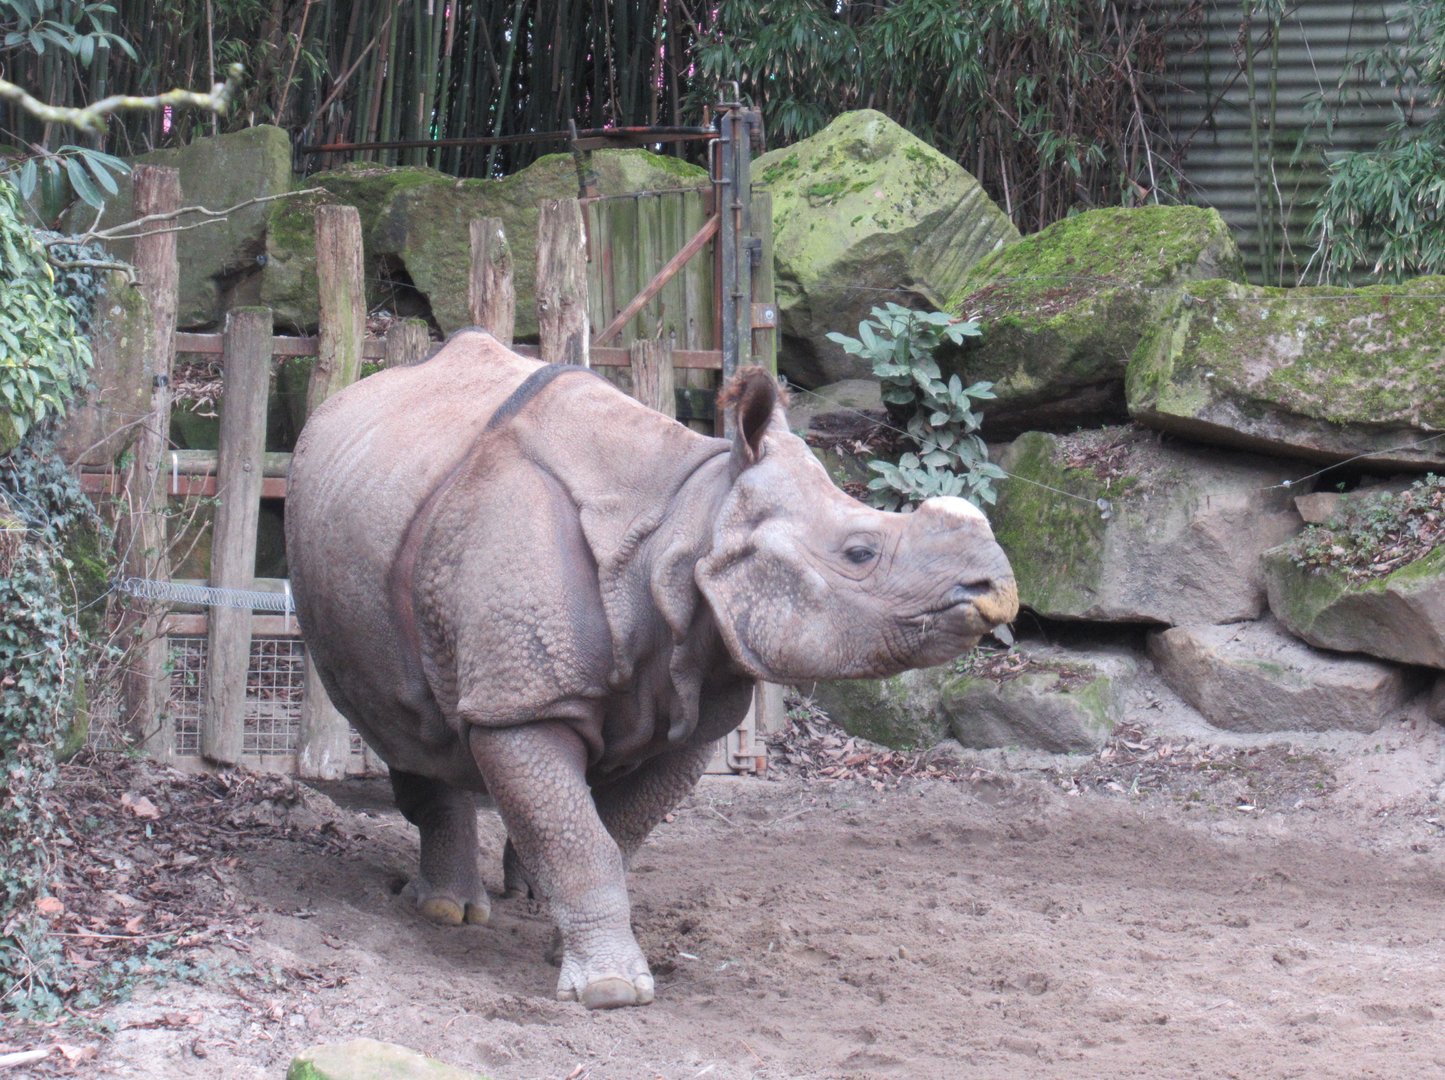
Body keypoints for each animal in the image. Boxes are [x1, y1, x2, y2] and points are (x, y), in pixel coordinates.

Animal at [285, 329, 1017, 1009]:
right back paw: (449, 913)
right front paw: (609, 990)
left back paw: (525, 896)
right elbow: (579, 839)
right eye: (860, 553)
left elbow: (612, 831)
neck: (682, 531)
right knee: (407, 727)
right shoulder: (523, 702)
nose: (996, 589)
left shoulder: (698, 705)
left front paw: (565, 947)